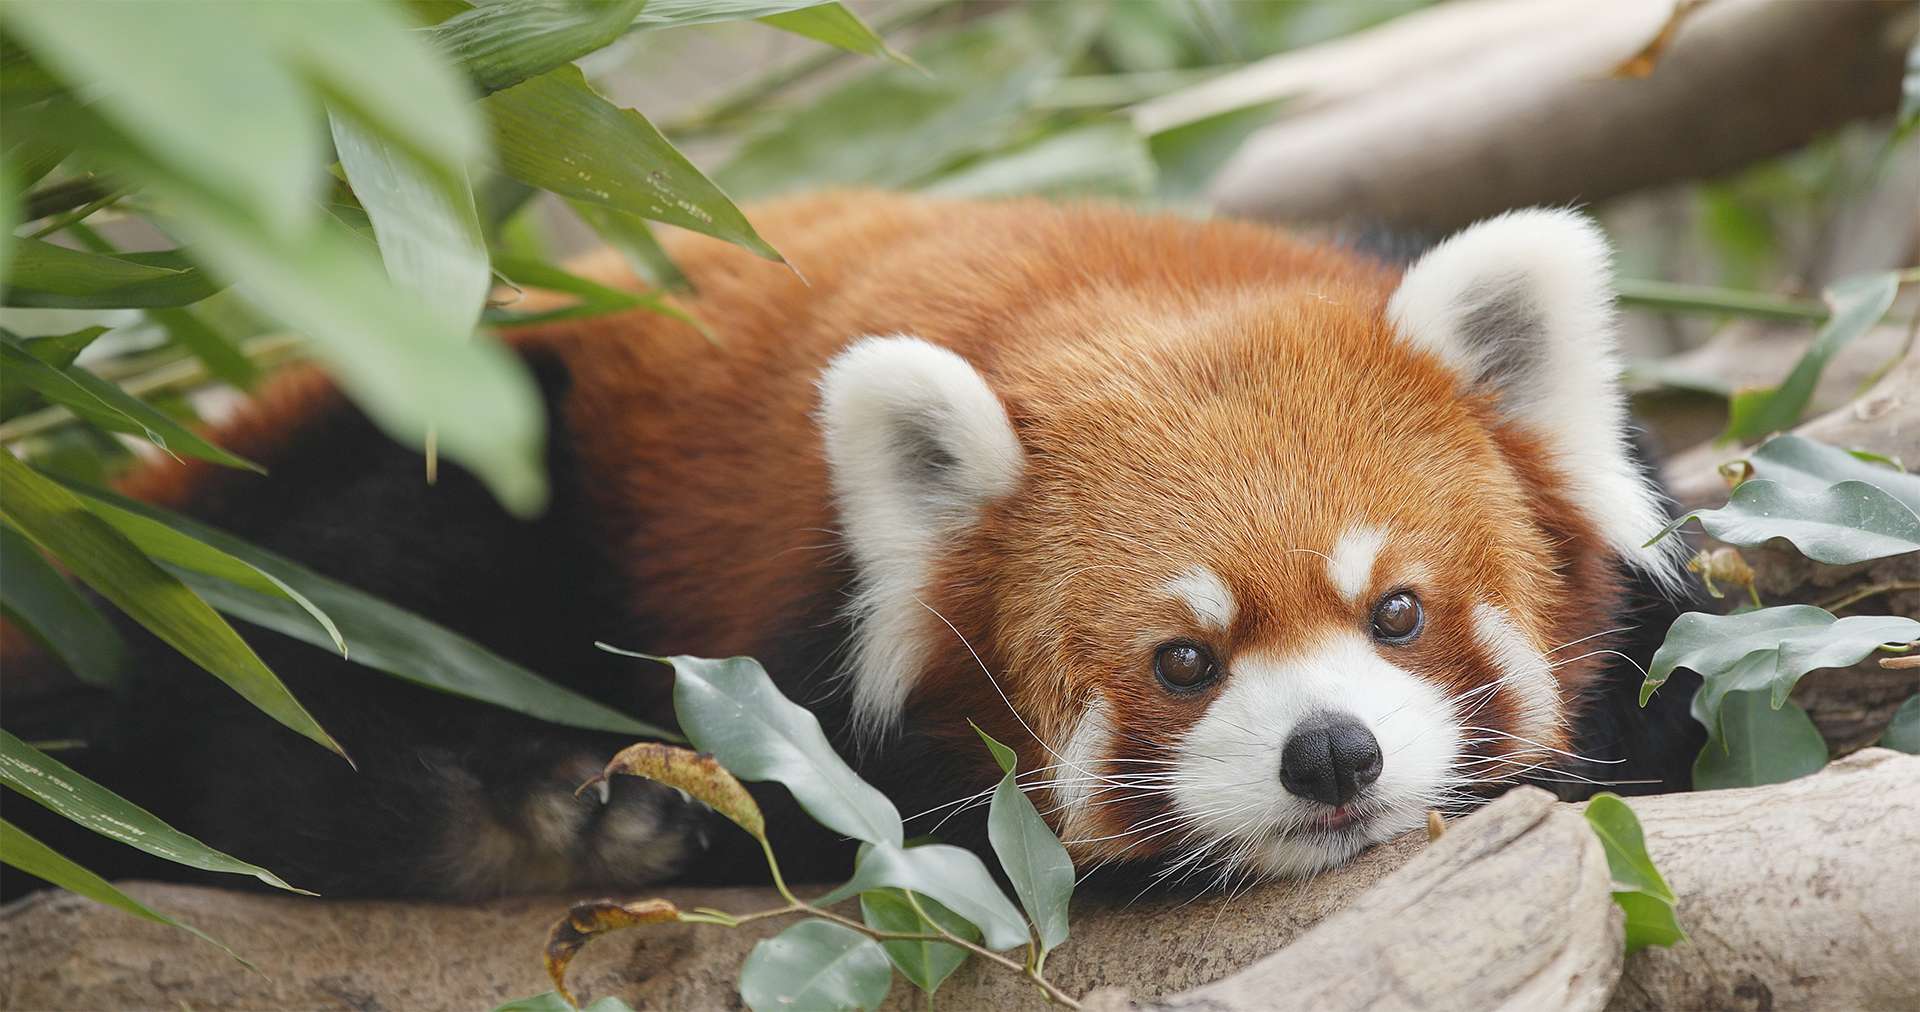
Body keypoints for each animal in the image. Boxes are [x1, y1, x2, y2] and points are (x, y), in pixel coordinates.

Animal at [11, 193, 1697, 898]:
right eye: (1184, 661)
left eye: (1399, 612)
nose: (1333, 755)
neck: (1128, 290)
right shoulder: (793, 620)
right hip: (465, 433)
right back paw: (527, 816)